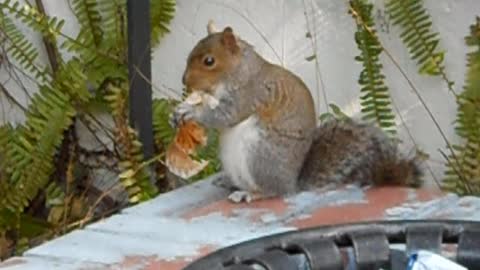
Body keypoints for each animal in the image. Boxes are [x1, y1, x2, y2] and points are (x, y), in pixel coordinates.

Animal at [170, 21, 424, 202]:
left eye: (209, 61)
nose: (184, 81)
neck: (239, 73)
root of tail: (293, 183)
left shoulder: (251, 95)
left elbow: (226, 116)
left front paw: (191, 111)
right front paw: (180, 110)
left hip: (259, 155)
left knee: (274, 191)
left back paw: (250, 193)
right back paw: (229, 182)